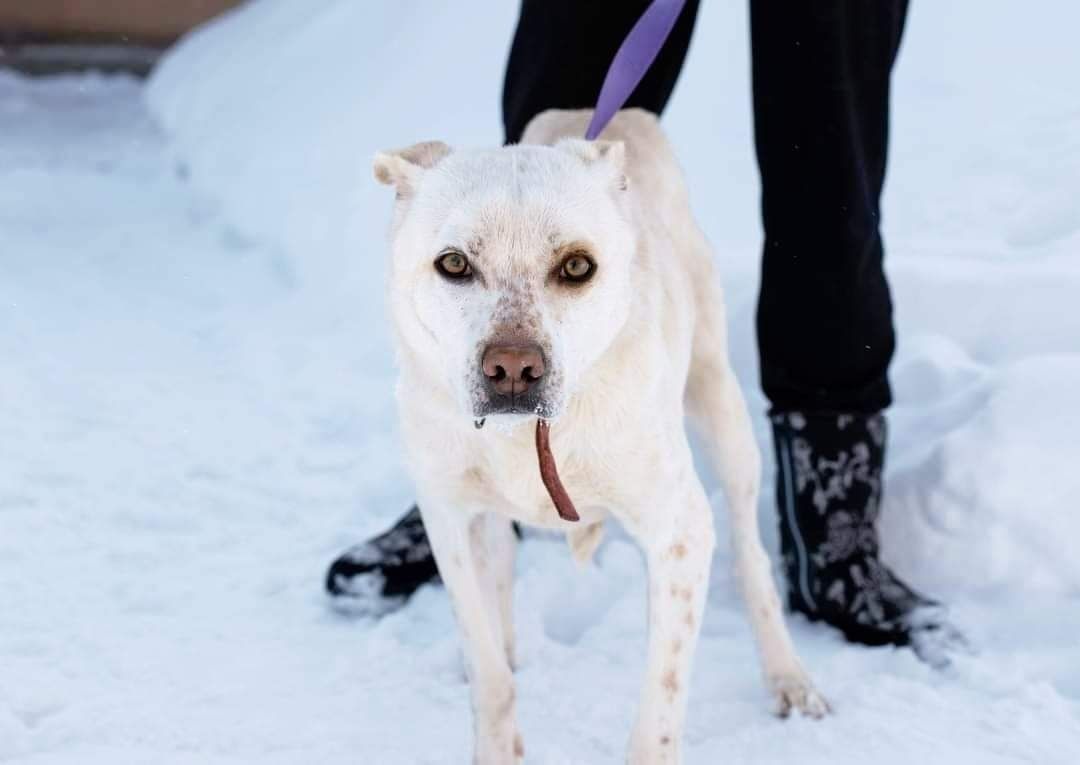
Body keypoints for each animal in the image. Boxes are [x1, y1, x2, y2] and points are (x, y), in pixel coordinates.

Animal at [373, 109, 825, 765]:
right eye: (454, 263)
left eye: (577, 266)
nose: (513, 368)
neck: (528, 439)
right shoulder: (449, 519)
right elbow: (490, 673)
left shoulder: (680, 536)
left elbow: (658, 711)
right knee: (501, 567)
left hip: (722, 412)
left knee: (751, 555)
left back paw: (788, 676)